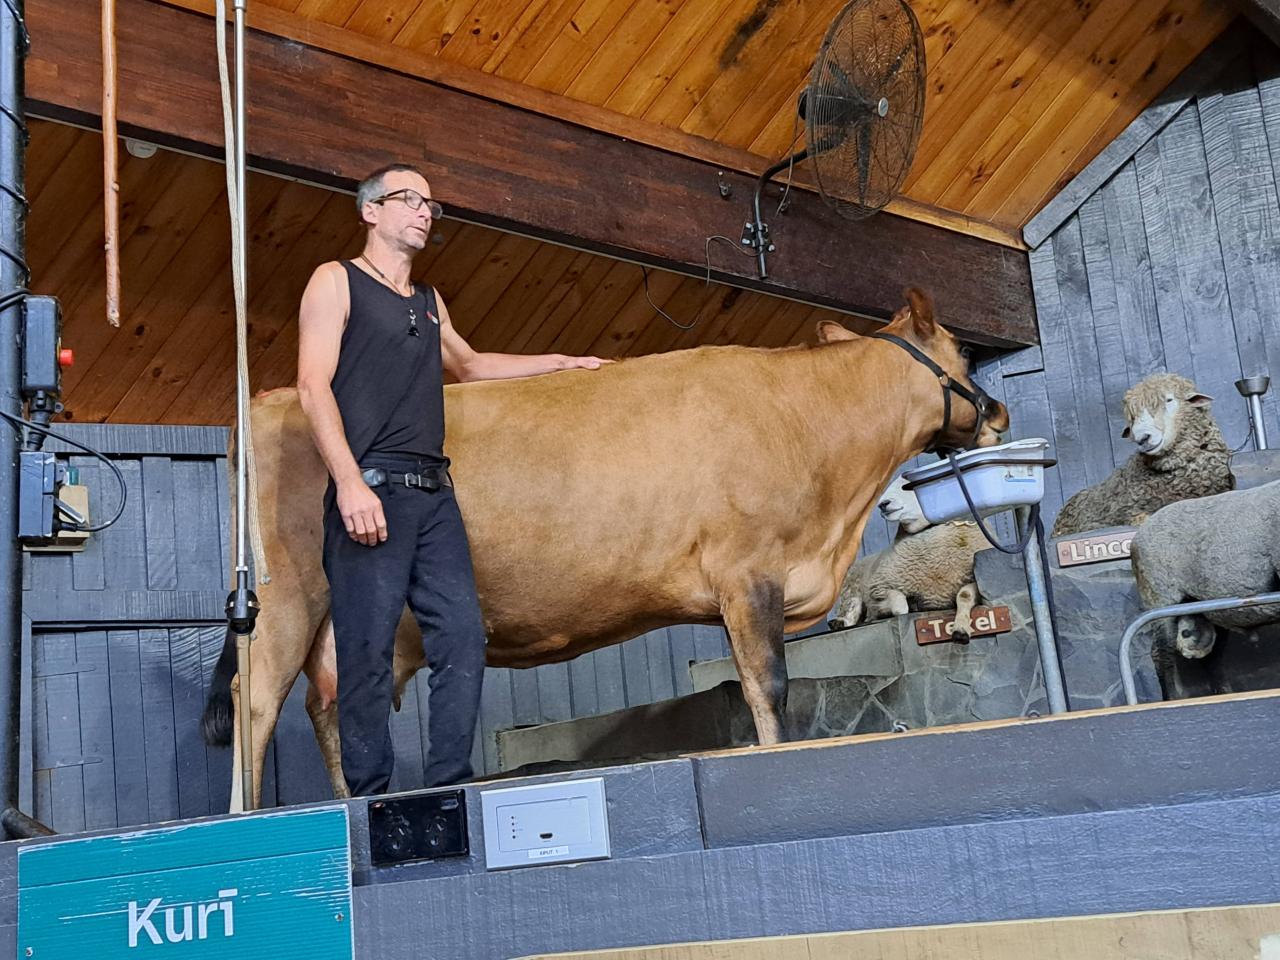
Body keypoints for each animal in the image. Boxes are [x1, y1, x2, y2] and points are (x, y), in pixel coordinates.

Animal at [202, 287, 1009, 810]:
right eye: (964, 351)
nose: (999, 409)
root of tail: (268, 398)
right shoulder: (748, 572)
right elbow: (768, 687)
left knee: (333, 702)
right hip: (287, 596)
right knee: (257, 701)